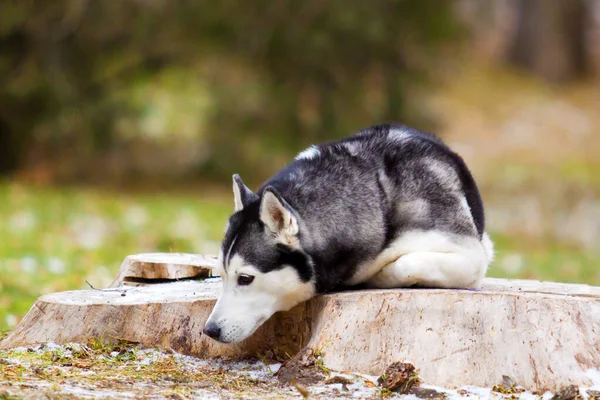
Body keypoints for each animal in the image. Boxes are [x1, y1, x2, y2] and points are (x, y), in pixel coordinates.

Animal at [202, 123, 492, 342]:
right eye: (222, 275)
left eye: (245, 278)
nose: (209, 330)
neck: (378, 196)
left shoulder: (472, 255)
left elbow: (403, 263)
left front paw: (379, 275)